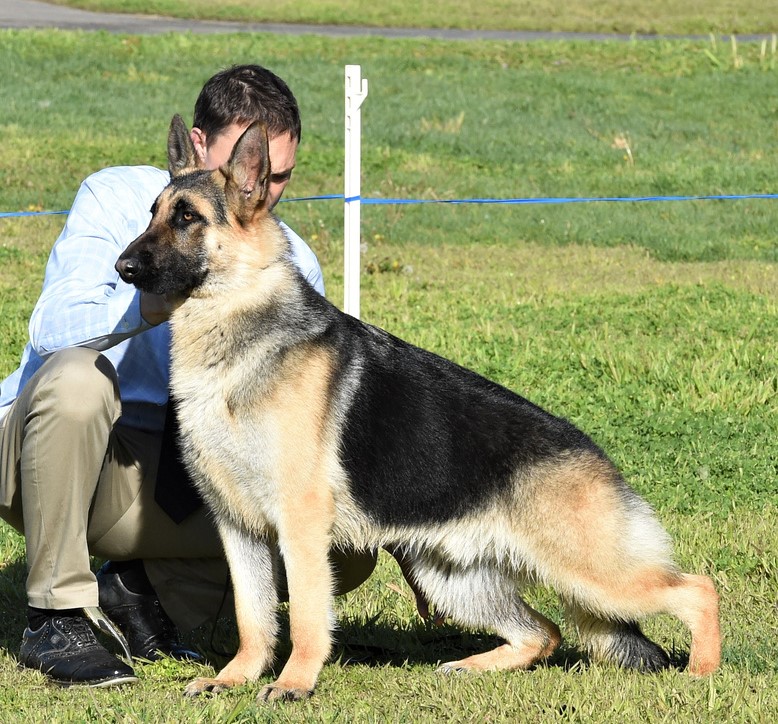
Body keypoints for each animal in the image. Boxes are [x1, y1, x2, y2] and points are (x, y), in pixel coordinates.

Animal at [118, 117, 720, 700]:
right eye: (151, 214)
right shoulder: (238, 528)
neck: (239, 321)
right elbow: (253, 617)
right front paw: (235, 678)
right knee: (542, 632)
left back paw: (701, 676)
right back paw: (471, 668)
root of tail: (597, 457)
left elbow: (308, 616)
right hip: (450, 576)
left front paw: (293, 684)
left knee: (698, 590)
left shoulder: (299, 525)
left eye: (187, 217)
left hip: (592, 573)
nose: (122, 266)